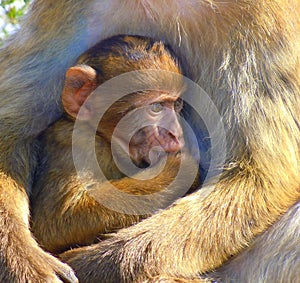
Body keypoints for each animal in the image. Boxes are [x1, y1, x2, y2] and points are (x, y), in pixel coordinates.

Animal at [30, 34, 197, 254]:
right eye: (156, 107)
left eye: (176, 105)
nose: (176, 134)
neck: (105, 138)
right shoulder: (78, 143)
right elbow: (58, 218)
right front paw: (179, 169)